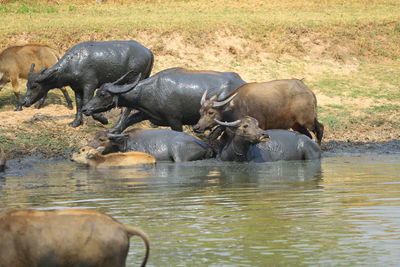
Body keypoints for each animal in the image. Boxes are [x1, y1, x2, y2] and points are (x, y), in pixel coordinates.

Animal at [23, 41, 154, 129]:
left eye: (35, 86)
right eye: (27, 85)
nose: (24, 102)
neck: (74, 63)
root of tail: (148, 52)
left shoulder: (90, 85)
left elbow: (87, 102)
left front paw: (103, 119)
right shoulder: (76, 88)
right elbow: (79, 104)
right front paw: (76, 123)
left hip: (134, 79)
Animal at [82, 67, 247, 133]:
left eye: (102, 94)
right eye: (98, 91)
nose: (85, 109)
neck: (151, 90)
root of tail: (241, 82)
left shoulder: (174, 120)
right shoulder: (146, 114)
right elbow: (126, 122)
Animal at [194, 79, 324, 146]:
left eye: (210, 112)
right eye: (200, 111)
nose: (196, 127)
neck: (235, 105)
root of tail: (309, 91)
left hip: (307, 120)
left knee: (319, 128)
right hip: (296, 124)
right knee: (307, 135)